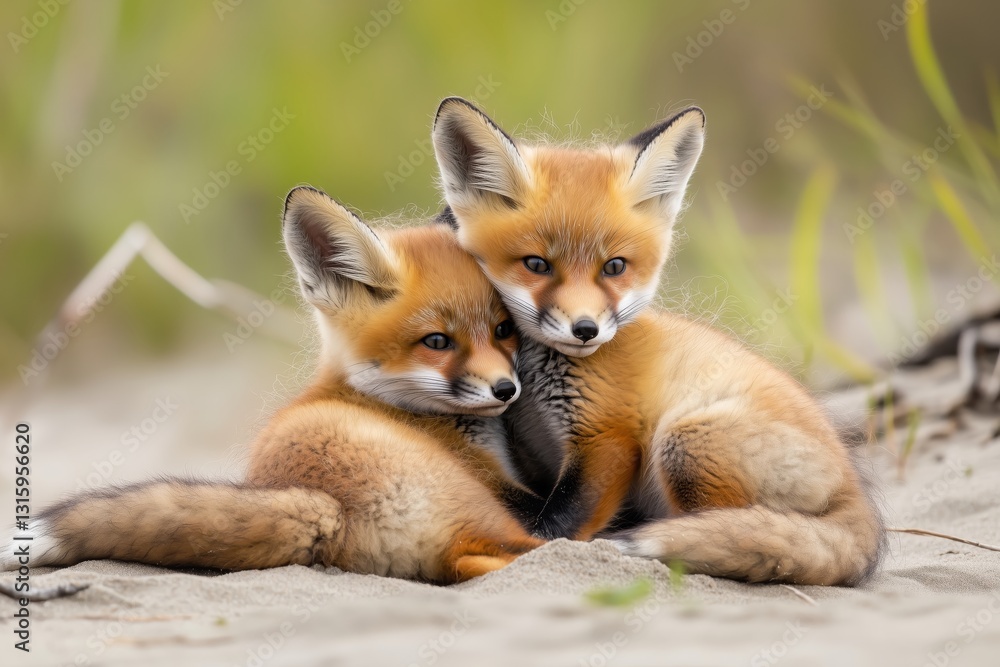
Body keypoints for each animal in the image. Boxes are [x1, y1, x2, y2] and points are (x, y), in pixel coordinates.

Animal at [2, 186, 544, 584]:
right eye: (437, 342)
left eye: (503, 329)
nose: (505, 390)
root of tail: (330, 508)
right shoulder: (501, 483)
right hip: (490, 514)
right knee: (526, 550)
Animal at [430, 97, 885, 585]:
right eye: (536, 264)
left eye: (614, 267)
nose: (585, 329)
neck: (536, 385)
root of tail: (855, 489)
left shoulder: (607, 435)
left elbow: (559, 525)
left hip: (685, 441)